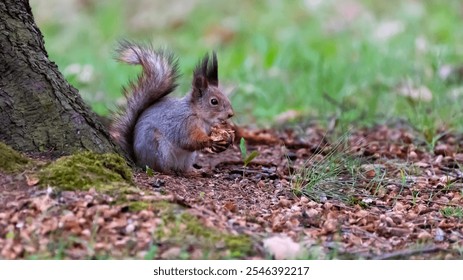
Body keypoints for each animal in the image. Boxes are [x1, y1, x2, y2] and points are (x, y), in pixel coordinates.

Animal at [110, 40, 236, 174]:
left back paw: (196, 171)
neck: (198, 115)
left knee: (184, 169)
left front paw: (226, 136)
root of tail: (139, 160)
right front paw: (211, 141)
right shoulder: (185, 124)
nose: (230, 114)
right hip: (159, 149)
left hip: (188, 157)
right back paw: (170, 171)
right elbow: (189, 141)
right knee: (162, 168)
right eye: (214, 101)